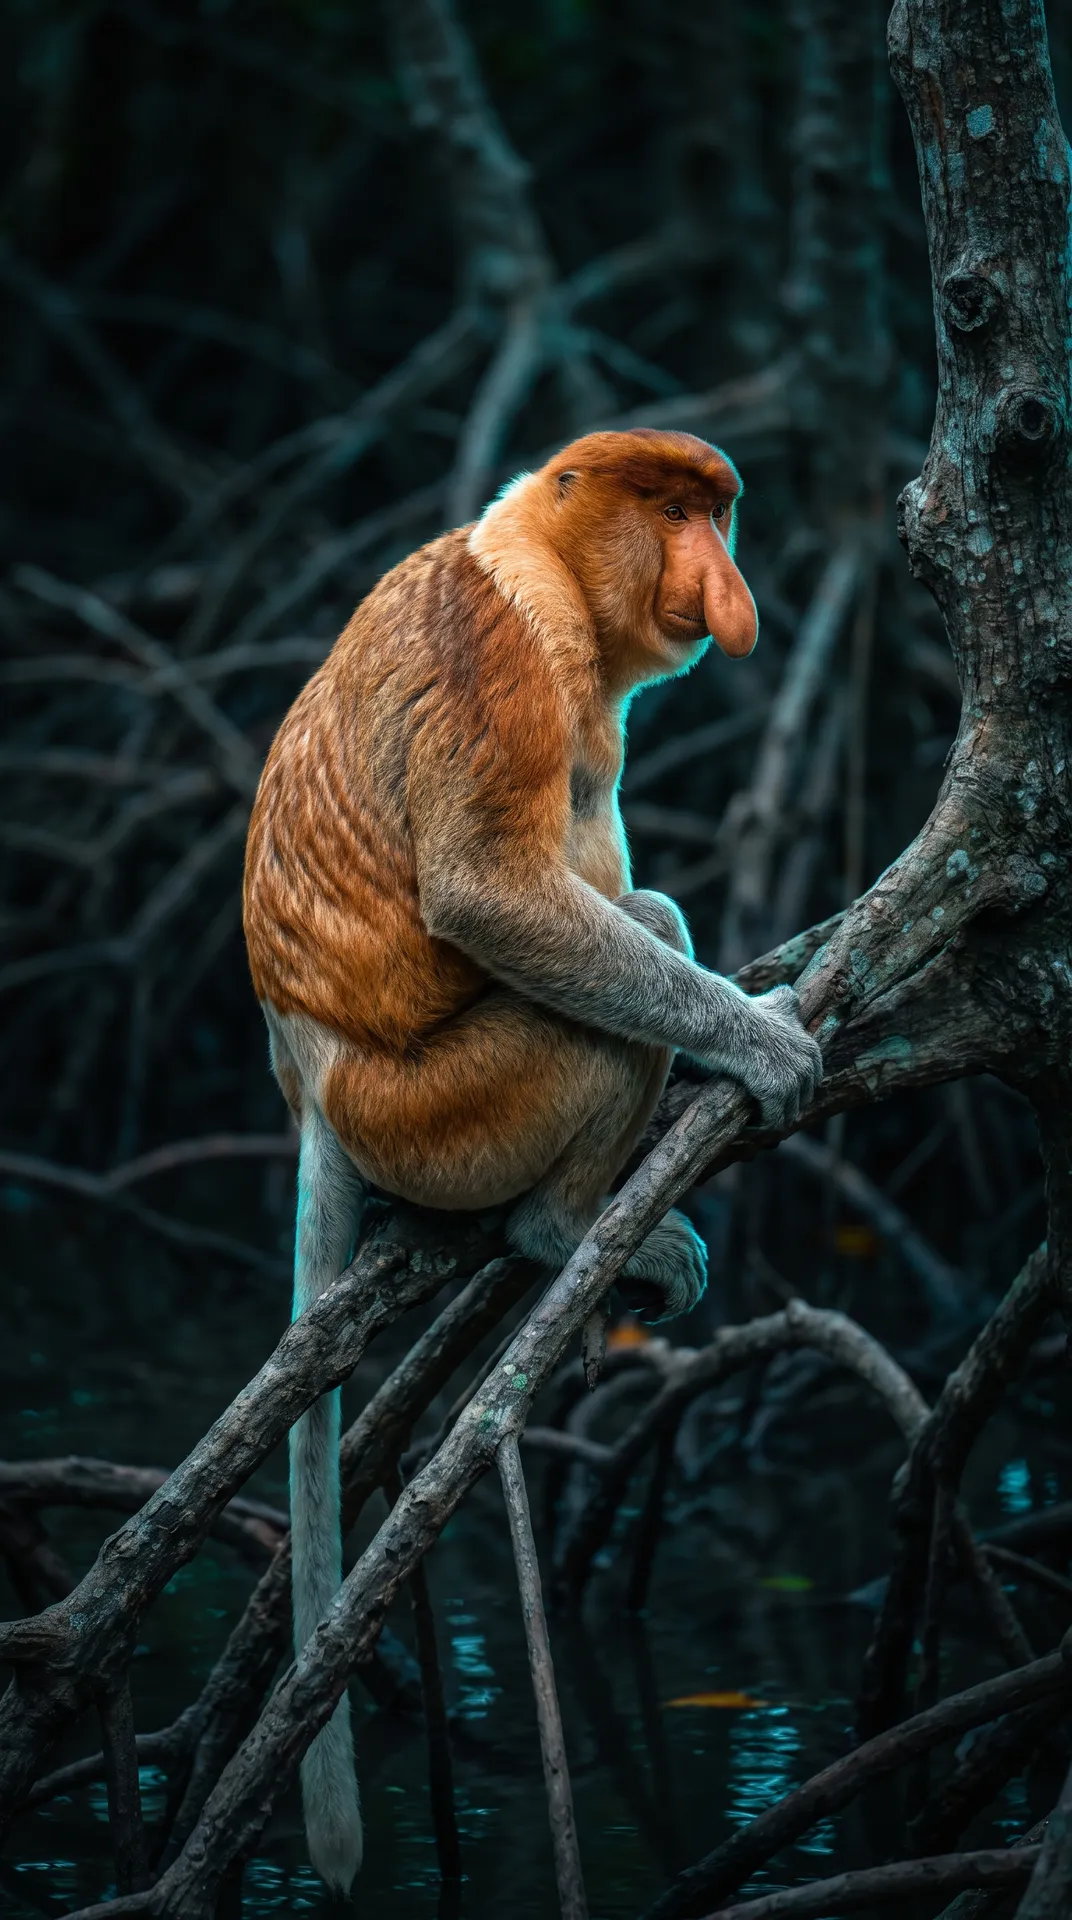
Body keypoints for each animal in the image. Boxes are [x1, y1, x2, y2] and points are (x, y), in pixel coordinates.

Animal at [242, 428, 823, 1890]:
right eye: (670, 511)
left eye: (717, 513)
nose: (725, 583)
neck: (536, 558)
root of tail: (312, 1083)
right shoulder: (501, 658)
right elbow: (487, 892)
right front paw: (765, 1043)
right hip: (444, 1112)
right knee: (620, 963)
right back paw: (566, 1235)